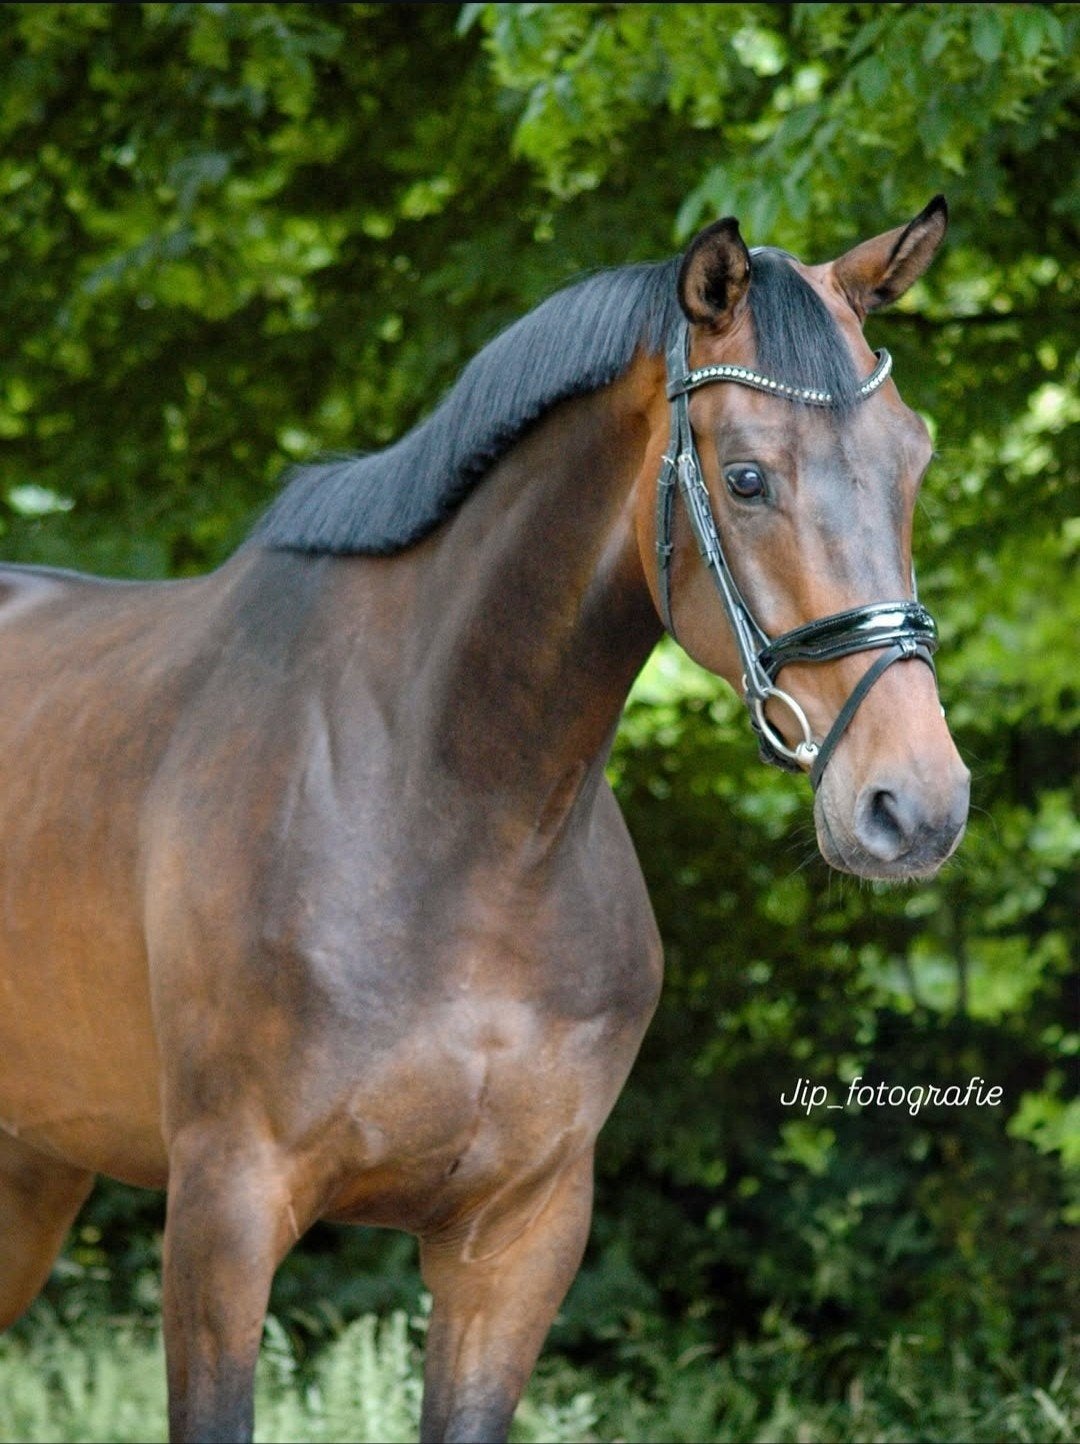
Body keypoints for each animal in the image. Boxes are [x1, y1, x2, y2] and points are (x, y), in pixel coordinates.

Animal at [0, 198, 970, 1443]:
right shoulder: (224, 1209)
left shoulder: (517, 1237)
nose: (917, 803)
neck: (458, 813)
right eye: (748, 477)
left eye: (914, 457)